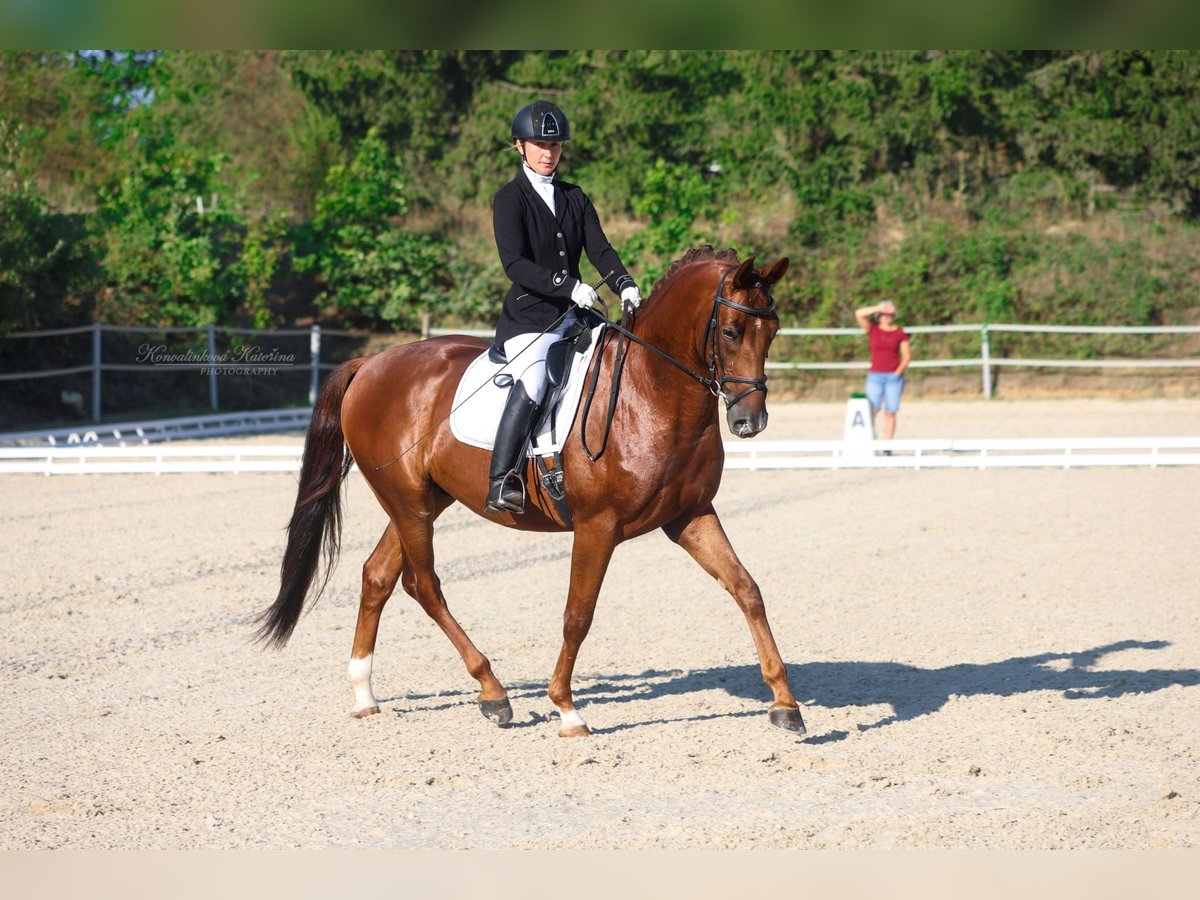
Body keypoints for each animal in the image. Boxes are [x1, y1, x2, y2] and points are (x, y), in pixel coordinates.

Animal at [259, 247, 811, 739]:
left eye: (773, 332)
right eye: (730, 331)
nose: (750, 422)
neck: (650, 392)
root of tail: (372, 363)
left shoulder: (691, 516)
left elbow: (747, 590)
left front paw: (785, 705)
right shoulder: (597, 526)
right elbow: (578, 615)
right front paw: (567, 710)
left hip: (423, 501)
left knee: (378, 575)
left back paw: (364, 693)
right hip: (407, 501)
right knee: (424, 585)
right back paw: (492, 692)